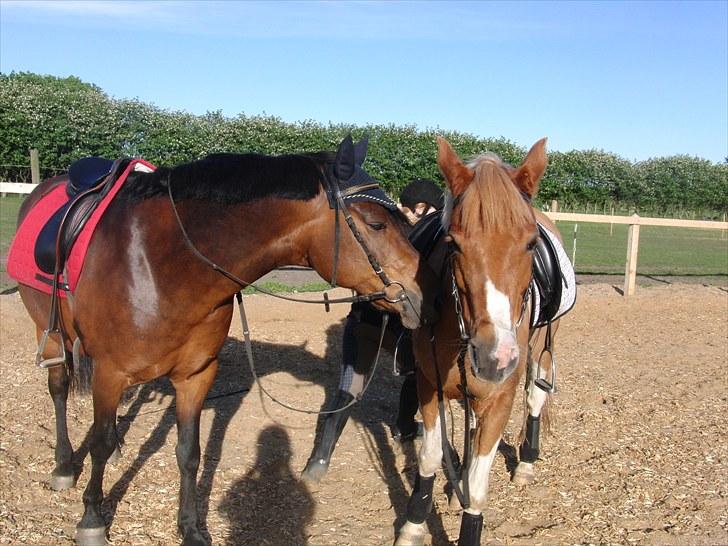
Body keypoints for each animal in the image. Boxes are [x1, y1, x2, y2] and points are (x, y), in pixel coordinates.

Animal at [11, 136, 437, 546]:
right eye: (377, 224)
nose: (423, 295)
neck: (162, 265)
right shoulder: (109, 372)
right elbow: (96, 445)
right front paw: (92, 519)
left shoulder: (196, 375)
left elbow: (189, 452)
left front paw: (190, 528)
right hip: (50, 334)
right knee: (59, 388)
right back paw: (64, 465)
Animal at [395, 136, 562, 546]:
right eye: (454, 244)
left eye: (531, 243)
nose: (495, 356)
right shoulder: (430, 385)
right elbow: (430, 457)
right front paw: (414, 523)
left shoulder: (501, 397)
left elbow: (480, 484)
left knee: (535, 397)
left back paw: (527, 463)